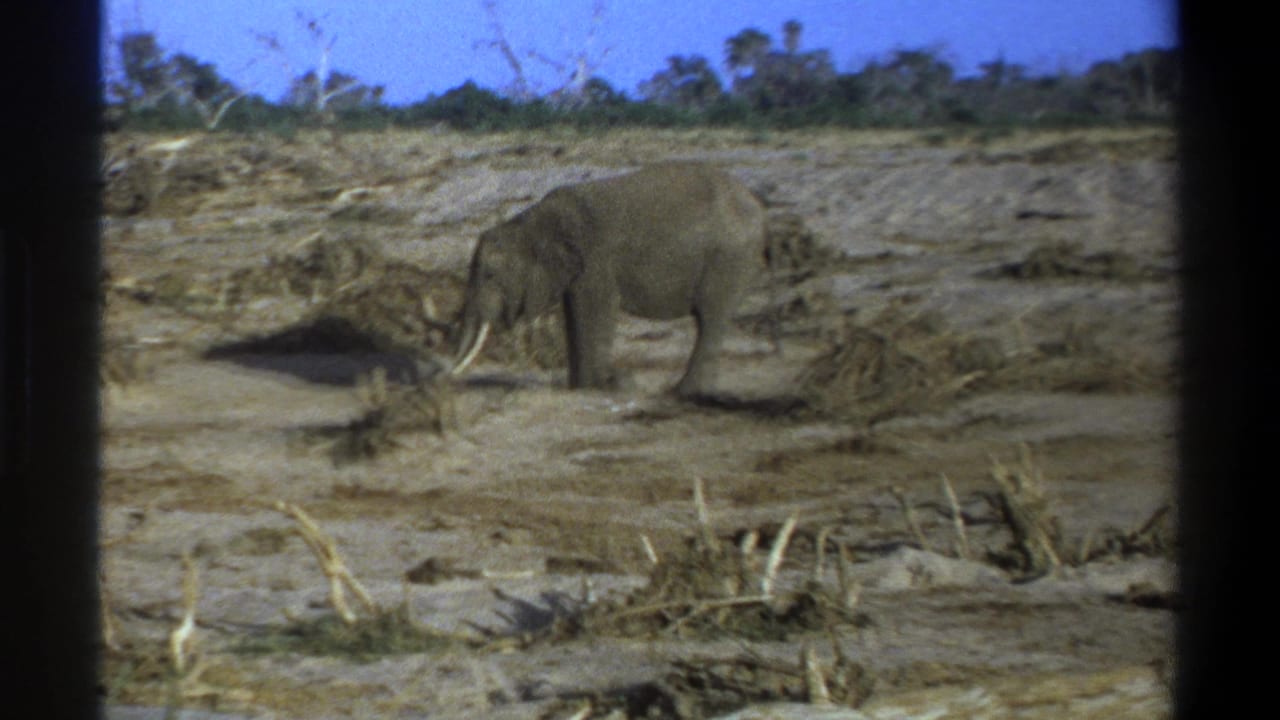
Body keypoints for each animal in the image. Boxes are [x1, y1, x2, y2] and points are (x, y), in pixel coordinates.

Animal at [447, 162, 766, 397]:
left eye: (490, 275)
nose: (447, 376)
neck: (531, 221)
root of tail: (755, 203)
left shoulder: (595, 259)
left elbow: (594, 311)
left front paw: (601, 386)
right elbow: (574, 315)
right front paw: (581, 388)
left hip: (729, 257)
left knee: (711, 319)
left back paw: (682, 393)